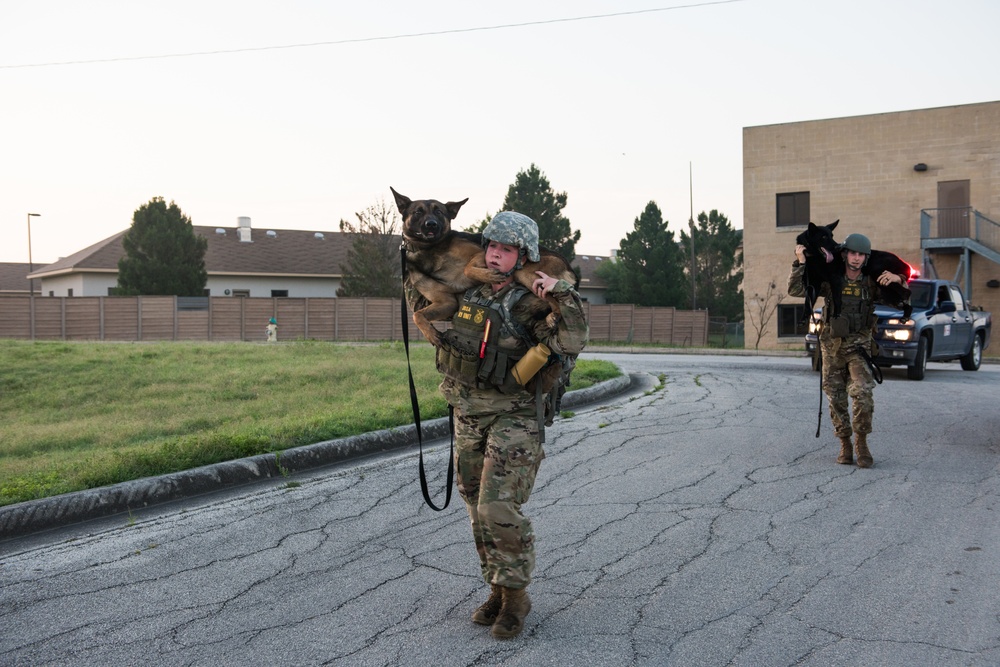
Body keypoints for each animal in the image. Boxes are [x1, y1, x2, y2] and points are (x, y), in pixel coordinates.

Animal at [392, 187, 580, 348]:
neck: (429, 249)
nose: (431, 224)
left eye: (439, 212)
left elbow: (467, 269)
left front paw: (489, 276)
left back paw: (553, 316)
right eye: (418, 212)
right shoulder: (446, 302)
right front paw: (431, 334)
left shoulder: (481, 253)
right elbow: (417, 314)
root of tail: (568, 266)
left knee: (555, 298)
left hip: (526, 273)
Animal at [402, 211, 584, 640]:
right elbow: (419, 307)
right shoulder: (439, 295)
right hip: (469, 457)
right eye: (417, 211)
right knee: (475, 507)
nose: (429, 226)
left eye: (435, 211)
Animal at [788, 232, 908, 468]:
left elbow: (836, 297)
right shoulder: (813, 283)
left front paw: (836, 312)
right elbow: (804, 298)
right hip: (885, 289)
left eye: (830, 235)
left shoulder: (832, 280)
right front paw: (804, 318)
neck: (815, 258)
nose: (837, 248)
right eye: (824, 236)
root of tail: (900, 259)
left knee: (904, 288)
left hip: (882, 279)